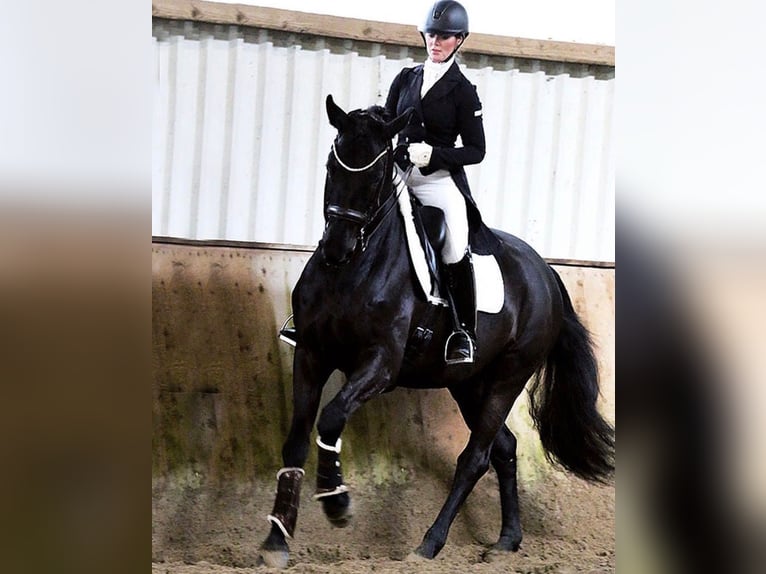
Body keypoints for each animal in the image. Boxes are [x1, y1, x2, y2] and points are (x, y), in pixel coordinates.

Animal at [259, 94, 614, 568]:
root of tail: (544, 271)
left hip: (509, 376)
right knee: (504, 448)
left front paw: (336, 502)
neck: (353, 270)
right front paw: (276, 541)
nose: (335, 249)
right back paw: (506, 541)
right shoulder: (312, 354)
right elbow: (296, 439)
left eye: (376, 174)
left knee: (476, 457)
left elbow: (332, 417)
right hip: (467, 381)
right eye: (332, 166)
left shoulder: (380, 364)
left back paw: (429, 543)